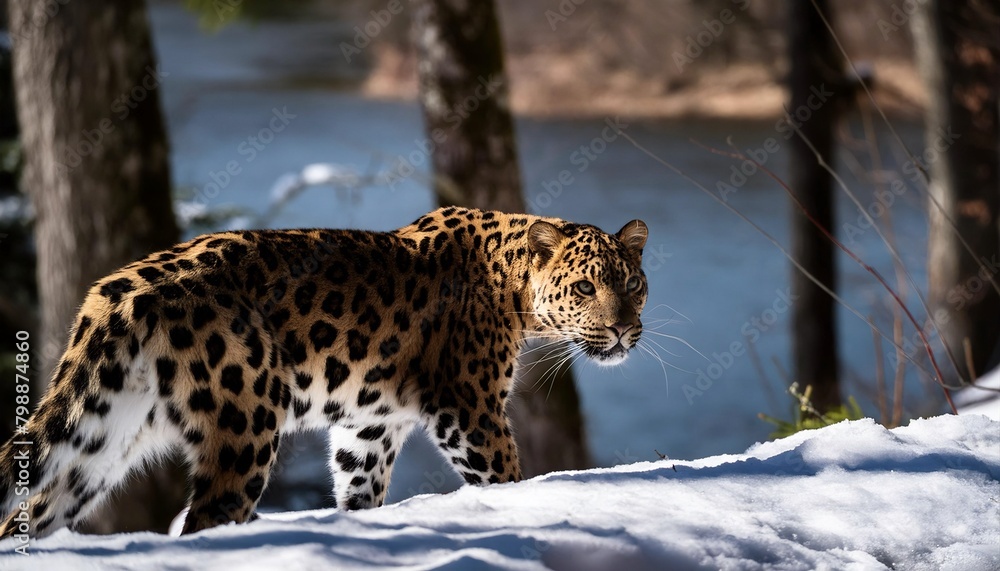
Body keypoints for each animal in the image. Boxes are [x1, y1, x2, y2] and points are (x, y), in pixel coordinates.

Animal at [0, 208, 648, 540]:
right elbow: (505, 479)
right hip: (245, 429)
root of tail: (118, 290)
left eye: (633, 284)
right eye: (585, 288)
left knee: (29, 516)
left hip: (97, 445)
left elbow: (361, 493)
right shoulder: (469, 410)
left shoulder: (370, 427)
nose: (623, 331)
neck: (514, 287)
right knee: (207, 518)